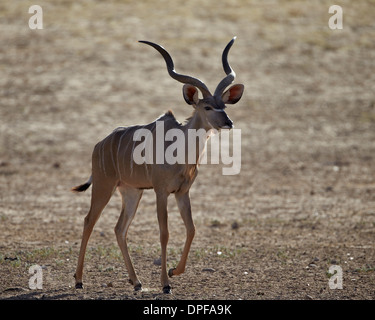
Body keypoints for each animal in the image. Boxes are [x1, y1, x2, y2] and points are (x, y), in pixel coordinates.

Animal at [72, 37, 245, 292]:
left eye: (224, 106)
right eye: (207, 107)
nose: (228, 122)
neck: (181, 153)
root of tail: (99, 145)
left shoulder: (182, 192)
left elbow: (191, 229)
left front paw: (174, 271)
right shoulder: (161, 191)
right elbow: (164, 233)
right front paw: (165, 283)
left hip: (131, 192)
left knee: (119, 228)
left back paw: (136, 282)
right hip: (104, 186)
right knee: (89, 221)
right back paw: (79, 280)